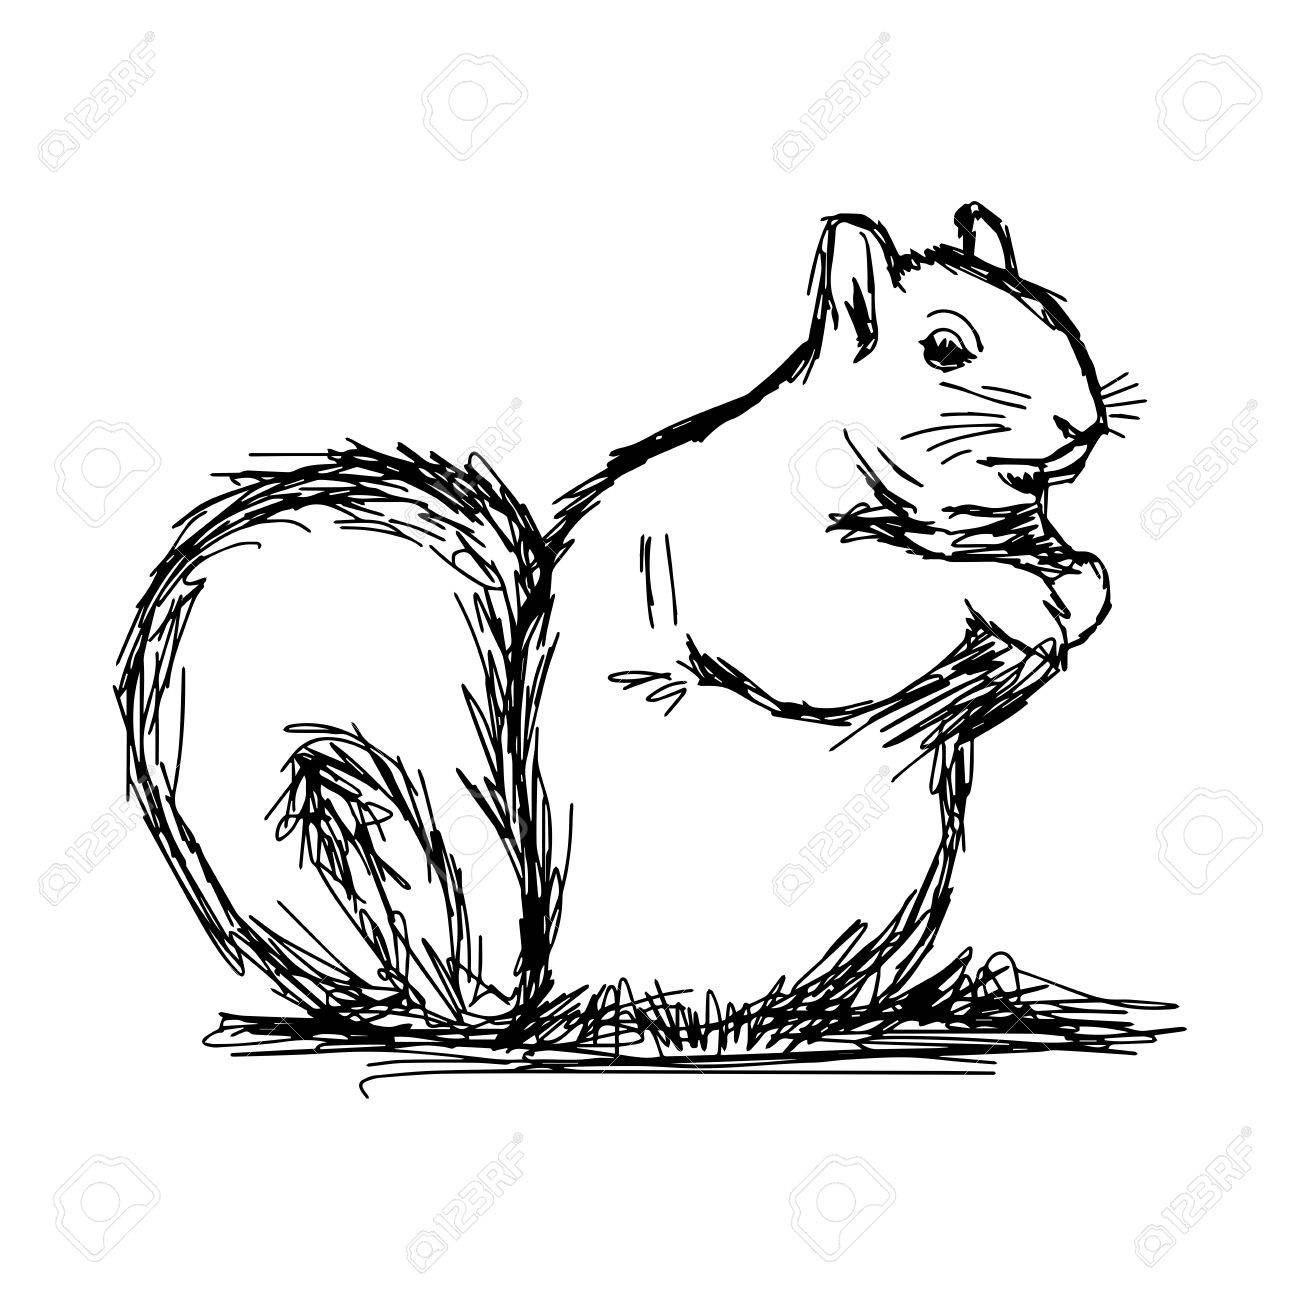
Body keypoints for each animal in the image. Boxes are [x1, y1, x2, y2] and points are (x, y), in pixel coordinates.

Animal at [118, 204, 1114, 1035]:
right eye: (944, 349)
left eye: (1054, 314)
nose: (1083, 424)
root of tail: (537, 987)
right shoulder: (746, 558)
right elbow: (840, 622)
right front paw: (1014, 596)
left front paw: (1083, 583)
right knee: (682, 1005)